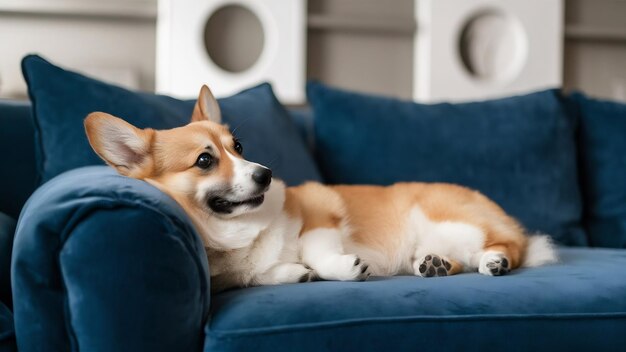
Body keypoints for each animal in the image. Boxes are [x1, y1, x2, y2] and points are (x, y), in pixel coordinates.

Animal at [84, 84, 556, 292]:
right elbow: (262, 276)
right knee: (453, 260)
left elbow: (317, 250)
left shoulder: (319, 217)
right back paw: (435, 265)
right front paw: (295, 274)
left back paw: (495, 261)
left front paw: (341, 268)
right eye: (204, 160)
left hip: (455, 223)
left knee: (509, 246)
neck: (236, 235)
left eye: (238, 147)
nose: (265, 174)